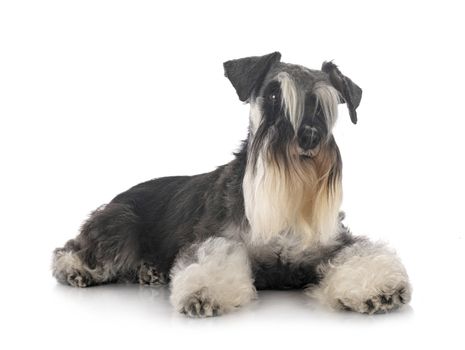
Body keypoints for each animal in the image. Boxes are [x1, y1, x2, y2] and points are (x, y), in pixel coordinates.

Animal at [52, 52, 412, 318]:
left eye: (326, 105)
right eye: (273, 94)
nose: (309, 136)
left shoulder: (335, 243)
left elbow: (358, 253)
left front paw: (379, 288)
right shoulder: (217, 237)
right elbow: (215, 258)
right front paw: (204, 291)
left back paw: (149, 271)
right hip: (119, 225)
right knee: (72, 250)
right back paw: (77, 270)